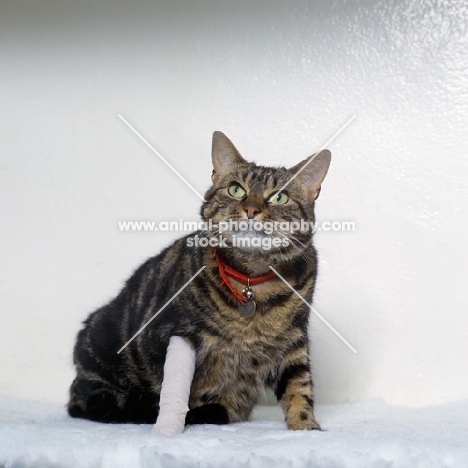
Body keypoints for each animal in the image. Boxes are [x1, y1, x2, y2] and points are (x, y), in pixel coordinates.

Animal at [68, 132, 332, 432]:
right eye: (236, 190)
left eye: (279, 197)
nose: (251, 209)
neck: (252, 281)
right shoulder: (168, 338)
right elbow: (176, 390)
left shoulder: (293, 341)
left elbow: (299, 387)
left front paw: (306, 428)